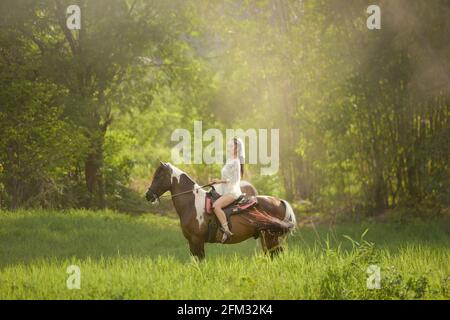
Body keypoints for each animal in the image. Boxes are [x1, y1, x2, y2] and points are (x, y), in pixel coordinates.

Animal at [146, 162, 298, 260]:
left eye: (158, 176)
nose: (148, 195)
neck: (192, 203)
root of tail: (279, 201)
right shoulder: (192, 242)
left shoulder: (197, 240)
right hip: (267, 238)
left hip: (270, 237)